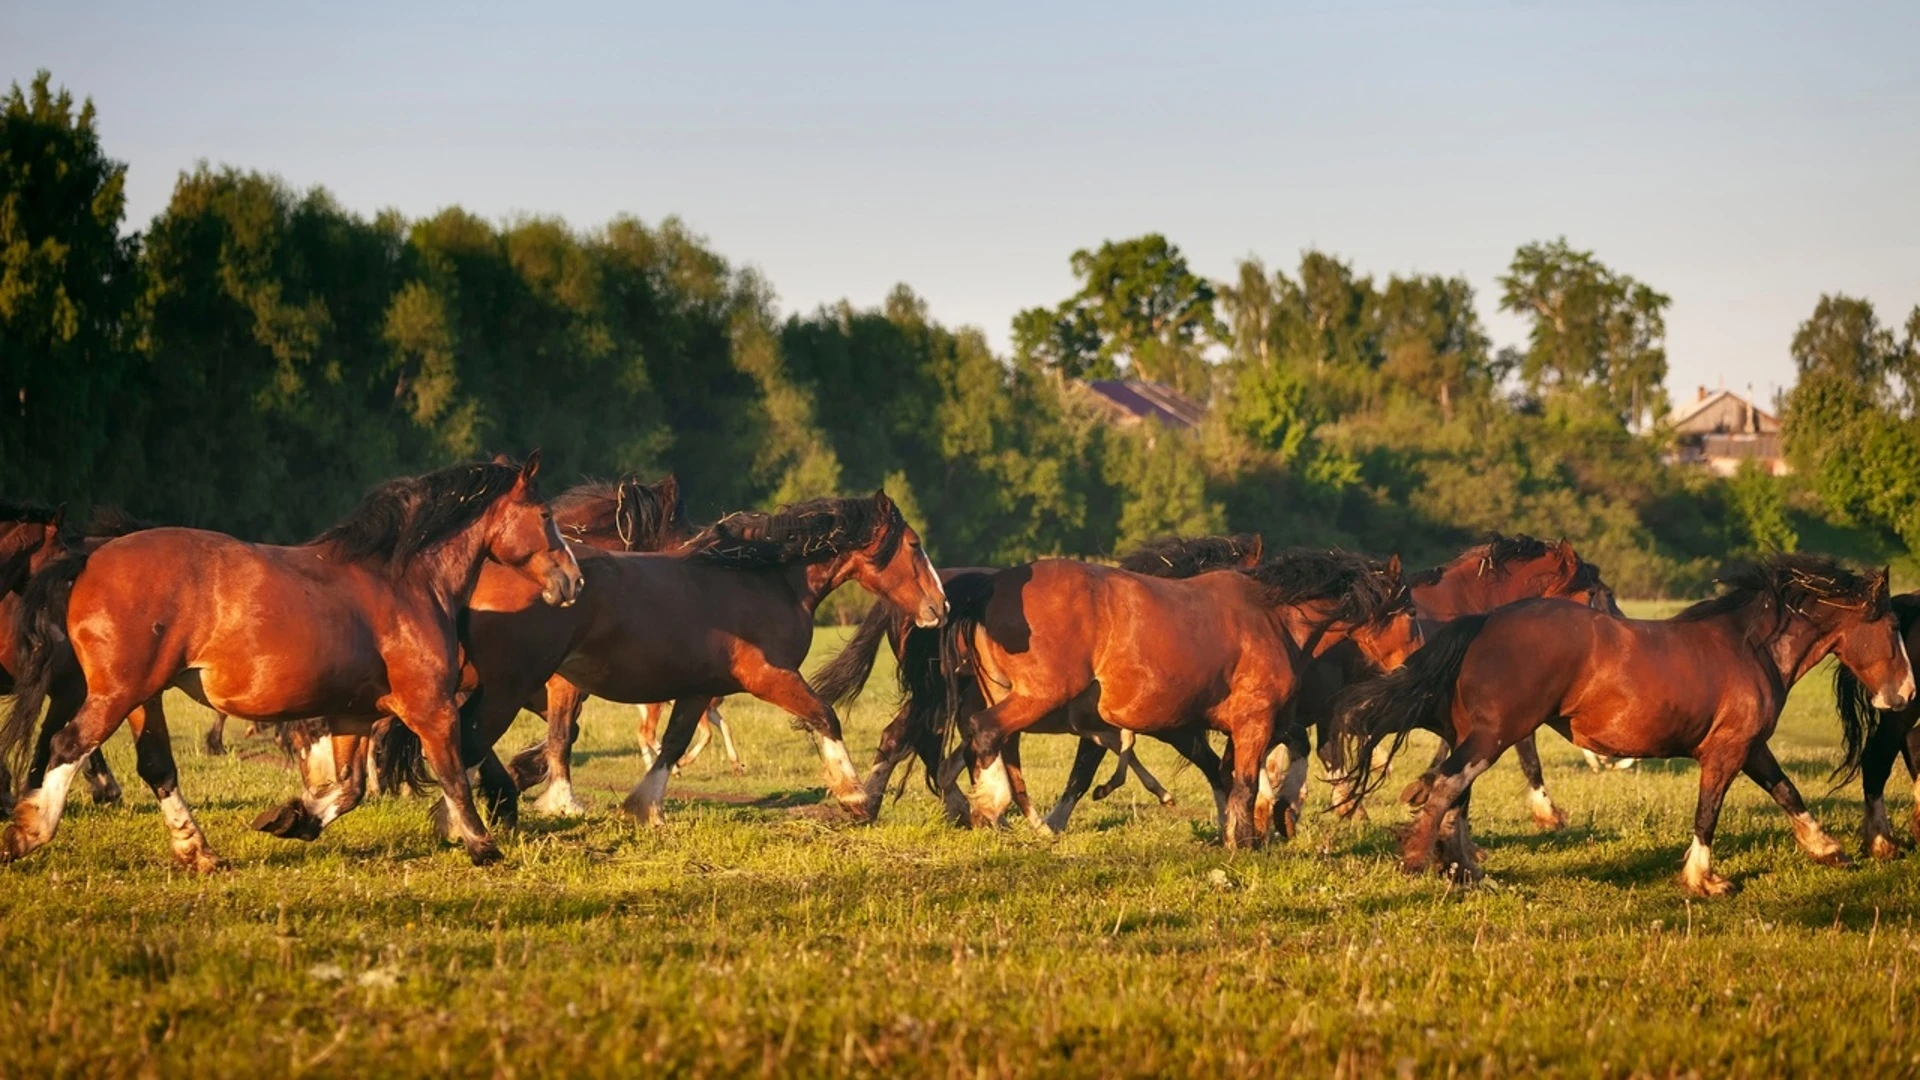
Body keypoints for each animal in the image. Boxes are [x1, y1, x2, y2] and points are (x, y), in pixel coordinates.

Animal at [1, 453, 583, 864]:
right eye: (546, 515)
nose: (573, 581)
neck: (405, 582)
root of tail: (89, 558)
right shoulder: (430, 708)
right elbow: (454, 775)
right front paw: (484, 847)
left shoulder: (354, 716)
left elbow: (349, 790)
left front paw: (293, 819)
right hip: (117, 691)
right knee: (67, 745)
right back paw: (28, 833)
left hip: (144, 697)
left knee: (155, 765)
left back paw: (199, 853)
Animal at [464, 491, 944, 818]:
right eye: (914, 544)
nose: (940, 607)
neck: (767, 580)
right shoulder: (768, 676)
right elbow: (825, 716)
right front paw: (855, 794)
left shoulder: (698, 690)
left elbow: (673, 744)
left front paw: (644, 807)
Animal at [936, 549, 1420, 845]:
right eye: (1412, 612)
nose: (1417, 665)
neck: (1273, 617)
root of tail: (993, 586)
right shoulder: (1254, 722)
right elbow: (1244, 783)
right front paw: (1248, 839)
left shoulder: (1236, 727)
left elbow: (1229, 776)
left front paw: (1245, 830)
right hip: (1038, 697)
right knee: (985, 734)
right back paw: (991, 808)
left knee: (996, 745)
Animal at [1344, 549, 1912, 895]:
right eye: (1891, 626)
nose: (1905, 694)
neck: (1752, 647)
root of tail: (1484, 621)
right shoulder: (1726, 751)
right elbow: (1708, 813)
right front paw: (1705, 880)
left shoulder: (1751, 748)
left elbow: (1787, 791)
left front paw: (1828, 849)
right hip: (1492, 735)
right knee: (1448, 787)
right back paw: (1422, 860)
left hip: (1479, 735)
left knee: (1456, 795)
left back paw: (1467, 869)